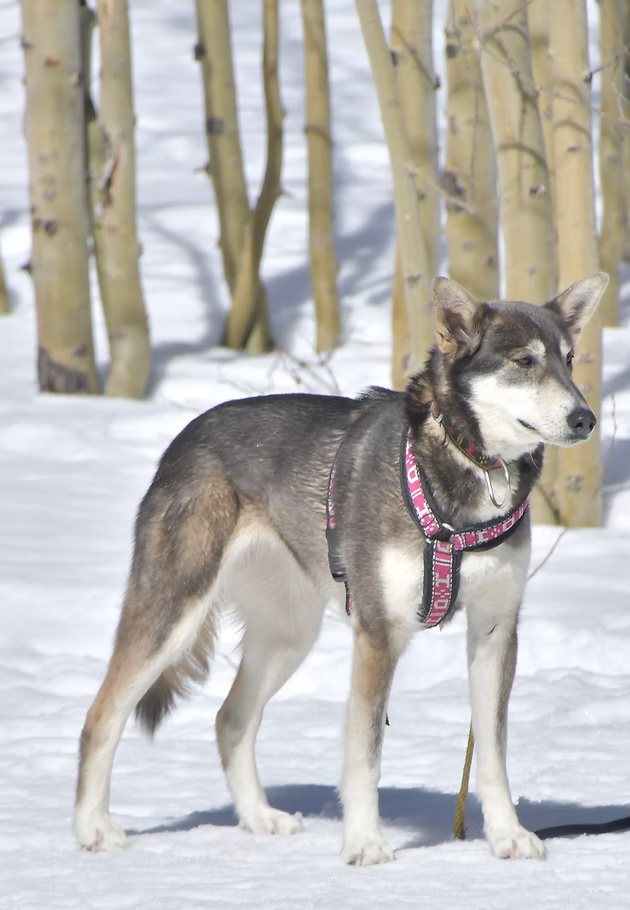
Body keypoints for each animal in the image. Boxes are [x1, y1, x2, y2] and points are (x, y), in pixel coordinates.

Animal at [75, 272, 607, 864]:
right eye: (523, 360)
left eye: (569, 359)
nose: (585, 419)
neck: (465, 469)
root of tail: (184, 438)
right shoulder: (378, 634)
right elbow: (365, 754)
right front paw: (365, 843)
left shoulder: (495, 630)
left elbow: (492, 752)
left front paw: (507, 835)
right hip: (172, 613)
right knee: (100, 718)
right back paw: (93, 828)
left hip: (288, 633)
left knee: (231, 720)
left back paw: (260, 818)